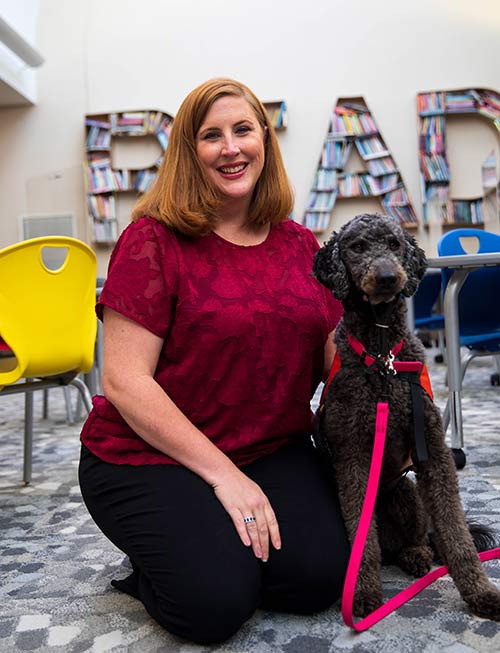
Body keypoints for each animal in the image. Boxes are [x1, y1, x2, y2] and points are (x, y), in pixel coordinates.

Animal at [312, 215, 500, 620]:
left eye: (395, 244)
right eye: (357, 247)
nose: (386, 277)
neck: (383, 356)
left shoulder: (433, 451)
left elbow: (455, 530)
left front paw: (481, 593)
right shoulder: (353, 458)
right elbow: (361, 536)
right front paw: (364, 593)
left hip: (408, 494)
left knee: (419, 540)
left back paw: (417, 555)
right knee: (384, 547)